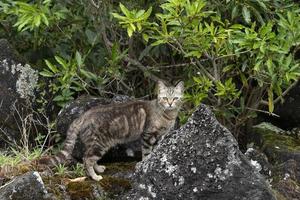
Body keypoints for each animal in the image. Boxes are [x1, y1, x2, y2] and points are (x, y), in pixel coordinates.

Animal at [38, 80, 184, 180]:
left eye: (175, 98)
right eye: (165, 98)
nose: (170, 103)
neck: (167, 115)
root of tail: (84, 115)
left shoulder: (160, 136)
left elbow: (155, 151)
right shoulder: (148, 135)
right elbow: (147, 153)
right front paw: (145, 164)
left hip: (97, 144)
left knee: (89, 157)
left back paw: (99, 169)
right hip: (99, 144)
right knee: (87, 159)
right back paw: (95, 177)